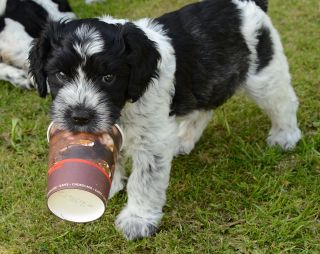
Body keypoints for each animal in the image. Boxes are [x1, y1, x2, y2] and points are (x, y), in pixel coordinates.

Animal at [28, 0, 302, 240]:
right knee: (204, 109)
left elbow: (144, 181)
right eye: (60, 74)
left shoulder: (151, 141)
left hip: (263, 74)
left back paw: (285, 136)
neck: (127, 102)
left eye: (108, 77)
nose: (79, 116)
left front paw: (137, 220)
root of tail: (248, 5)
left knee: (283, 101)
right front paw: (110, 185)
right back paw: (183, 141)